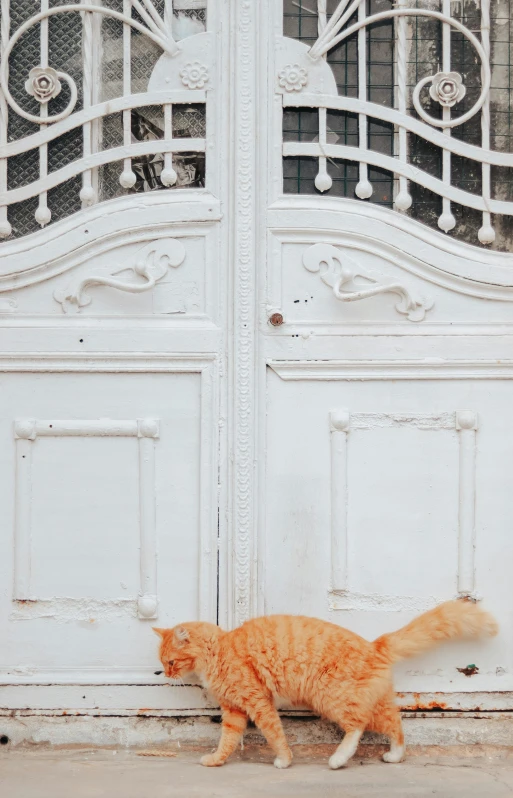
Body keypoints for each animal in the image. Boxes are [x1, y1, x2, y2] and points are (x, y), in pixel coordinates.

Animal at [152, 604, 496, 772]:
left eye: (171, 661)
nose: (164, 673)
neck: (220, 649)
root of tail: (374, 645)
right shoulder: (235, 710)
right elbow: (227, 741)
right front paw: (216, 760)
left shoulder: (258, 702)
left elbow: (274, 733)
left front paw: (284, 760)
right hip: (366, 701)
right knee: (395, 725)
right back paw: (394, 756)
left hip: (331, 698)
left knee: (357, 727)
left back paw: (338, 759)